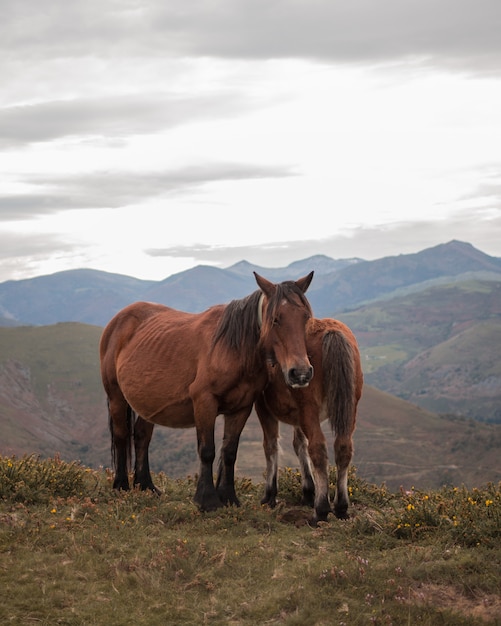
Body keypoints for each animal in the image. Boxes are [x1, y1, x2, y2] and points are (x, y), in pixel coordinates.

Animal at [98, 270, 312, 510]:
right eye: (276, 319)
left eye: (305, 317)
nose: (300, 372)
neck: (232, 348)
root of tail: (118, 320)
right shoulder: (204, 402)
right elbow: (207, 450)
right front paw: (207, 499)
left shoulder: (241, 408)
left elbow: (229, 452)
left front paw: (228, 497)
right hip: (116, 397)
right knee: (121, 435)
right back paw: (121, 486)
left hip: (149, 403)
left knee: (142, 436)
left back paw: (146, 486)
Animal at [256, 316, 362, 520]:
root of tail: (331, 332)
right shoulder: (300, 415)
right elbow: (299, 444)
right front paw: (308, 491)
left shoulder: (264, 408)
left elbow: (271, 446)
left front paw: (269, 495)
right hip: (350, 407)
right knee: (343, 447)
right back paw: (341, 506)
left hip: (309, 408)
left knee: (318, 449)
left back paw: (321, 509)